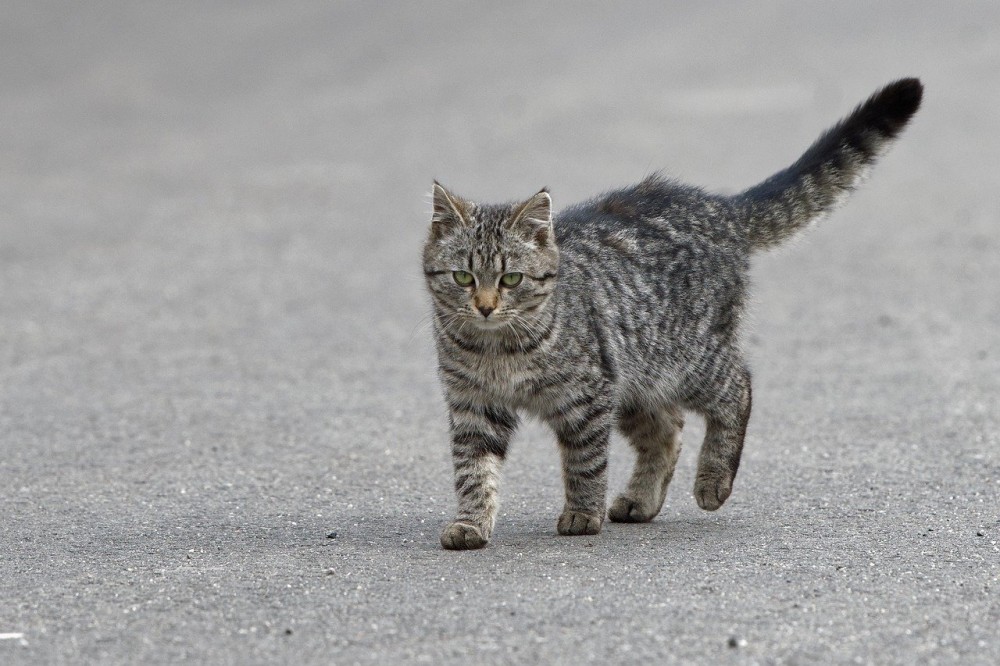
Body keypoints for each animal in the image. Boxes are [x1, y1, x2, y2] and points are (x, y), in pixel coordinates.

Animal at [420, 78, 920, 548]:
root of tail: (720, 207)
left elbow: (585, 462)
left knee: (738, 387)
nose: (485, 307)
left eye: (510, 279)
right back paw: (642, 500)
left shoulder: (588, 396)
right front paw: (471, 522)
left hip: (687, 360)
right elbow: (473, 471)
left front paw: (582, 513)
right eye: (463, 277)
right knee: (668, 430)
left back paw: (713, 481)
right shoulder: (473, 405)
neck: (496, 348)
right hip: (638, 378)